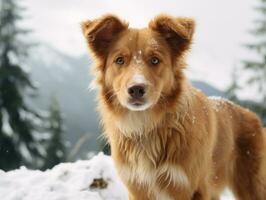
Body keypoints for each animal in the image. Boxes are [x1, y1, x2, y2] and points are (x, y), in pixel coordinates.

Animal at [81, 14, 266, 200]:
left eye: (155, 60)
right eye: (119, 60)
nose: (136, 89)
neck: (146, 126)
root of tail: (250, 114)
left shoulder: (193, 186)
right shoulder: (137, 187)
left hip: (252, 185)